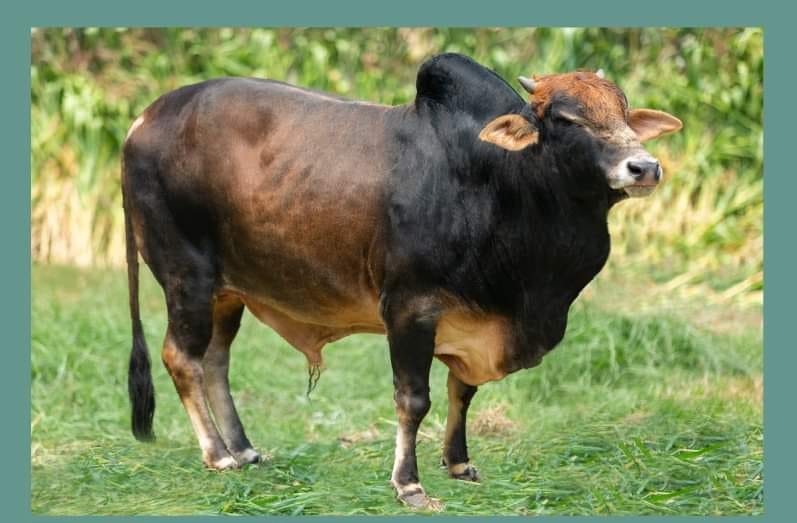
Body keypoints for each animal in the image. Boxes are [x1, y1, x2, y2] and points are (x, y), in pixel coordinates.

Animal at [122, 52, 681, 509]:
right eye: (567, 119)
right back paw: (217, 454)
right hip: (187, 278)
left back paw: (243, 448)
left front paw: (458, 462)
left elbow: (462, 391)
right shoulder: (410, 310)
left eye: (625, 114)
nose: (644, 167)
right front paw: (408, 484)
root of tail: (144, 118)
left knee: (216, 360)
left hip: (228, 291)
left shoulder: (471, 321)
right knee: (182, 358)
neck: (501, 181)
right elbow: (414, 399)